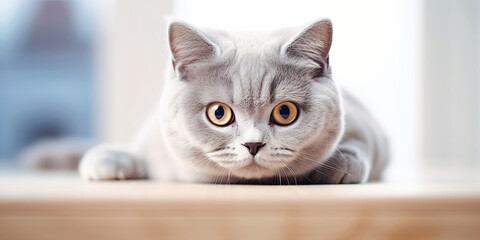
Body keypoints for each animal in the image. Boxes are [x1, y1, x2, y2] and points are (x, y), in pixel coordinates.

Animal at [77, 19, 388, 184]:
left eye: (285, 112)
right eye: (219, 113)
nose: (253, 145)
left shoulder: (367, 127)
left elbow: (360, 146)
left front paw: (339, 164)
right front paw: (107, 160)